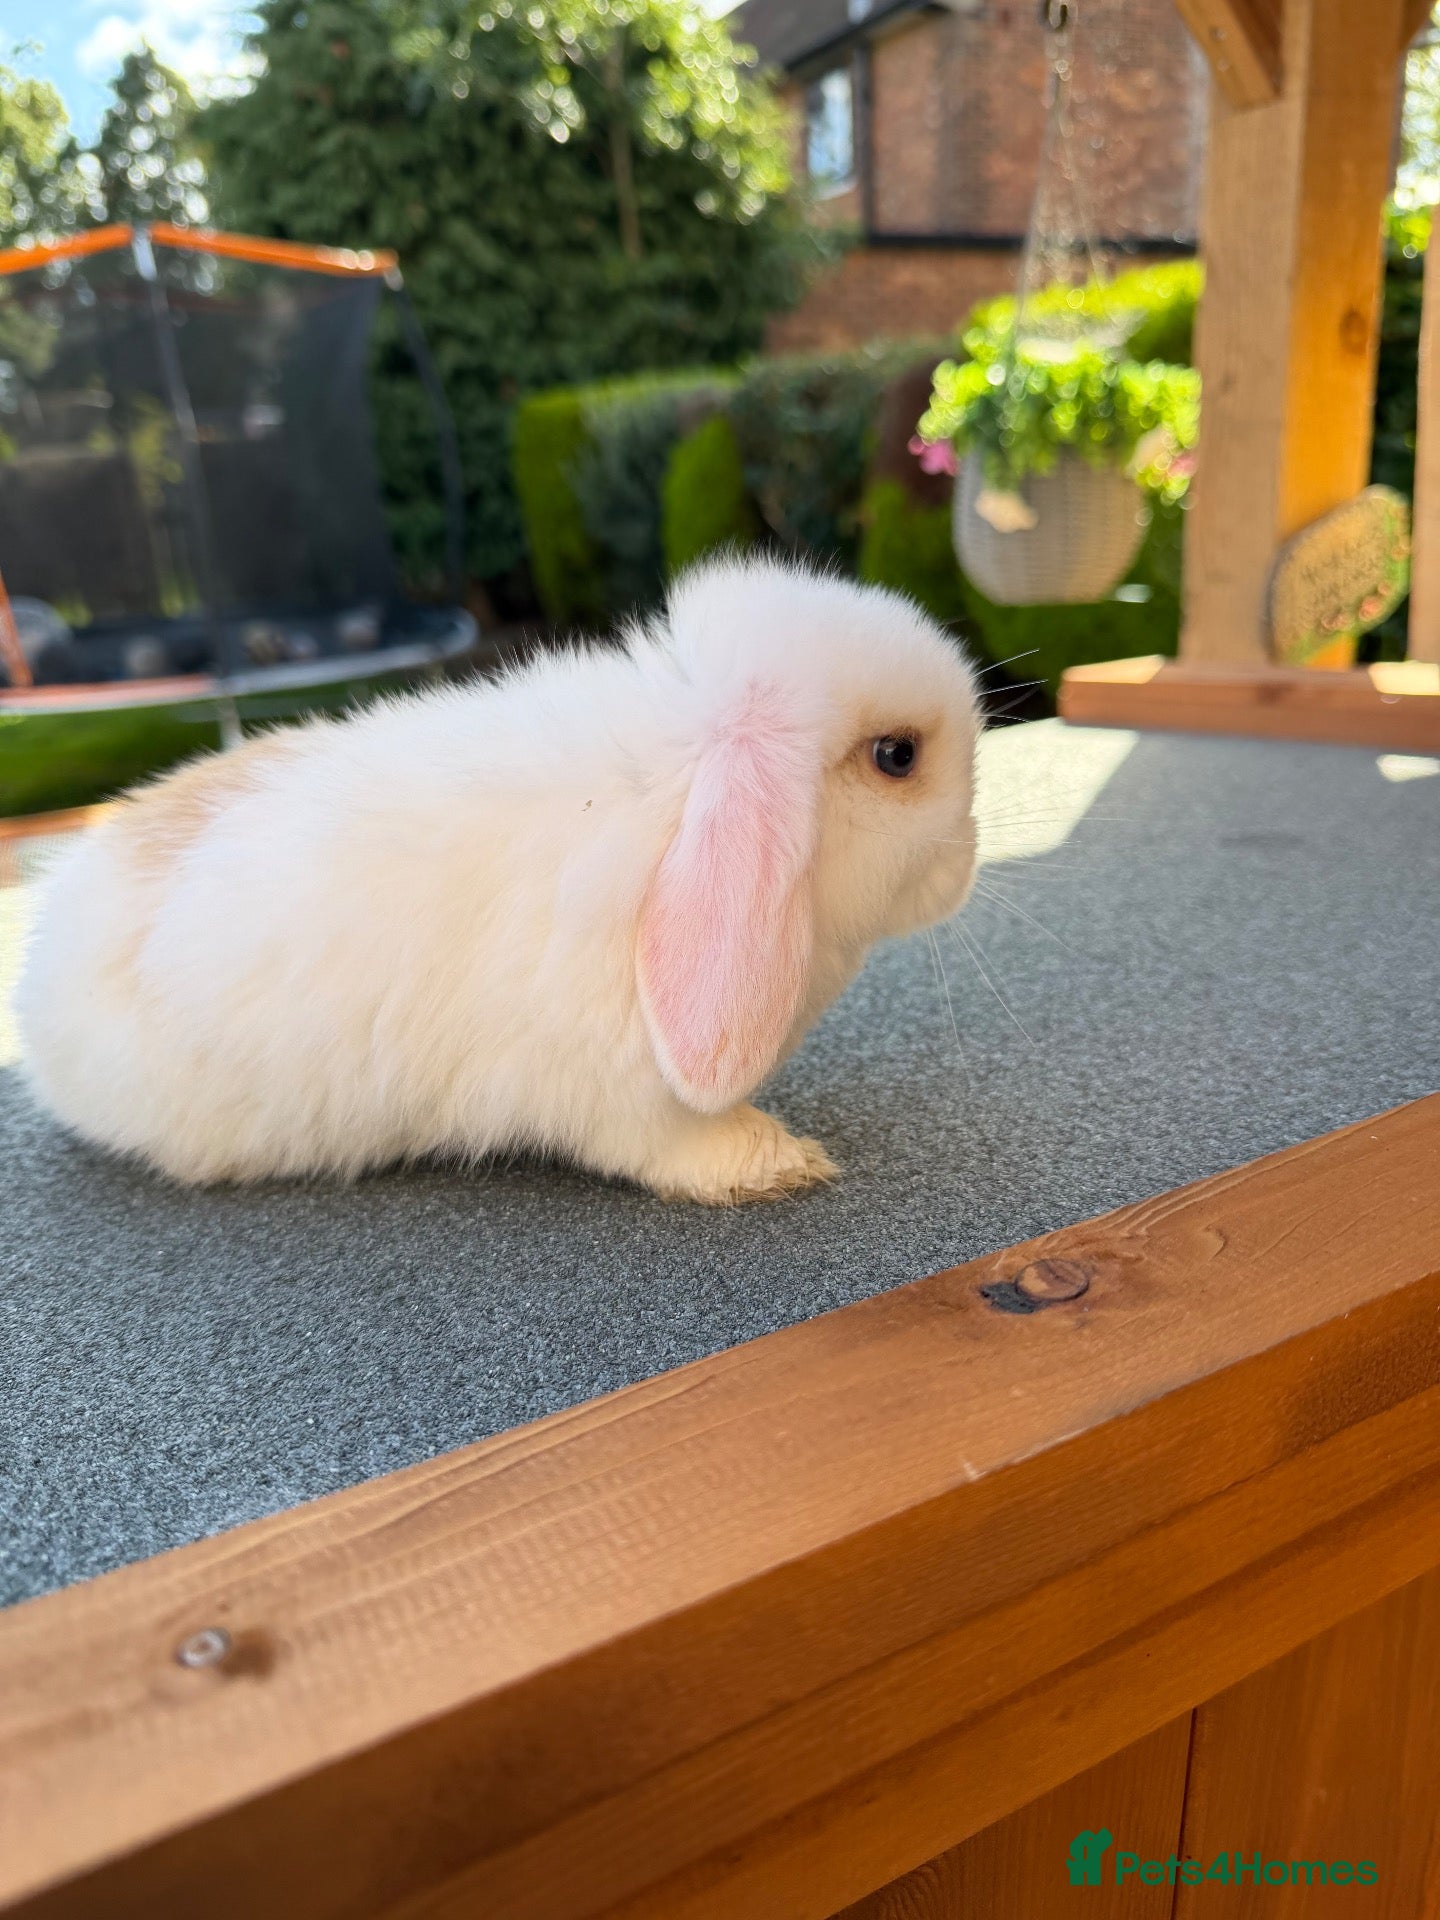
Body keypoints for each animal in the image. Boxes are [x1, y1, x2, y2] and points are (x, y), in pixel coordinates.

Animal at [16, 559, 980, 1204]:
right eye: (899, 757)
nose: (970, 860)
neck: (675, 798)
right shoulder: (622, 1090)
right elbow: (669, 1143)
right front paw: (777, 1161)